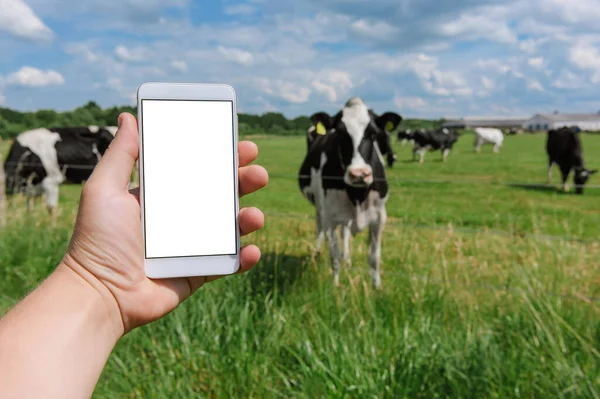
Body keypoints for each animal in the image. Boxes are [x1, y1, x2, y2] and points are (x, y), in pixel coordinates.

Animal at [300, 98, 404, 290]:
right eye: (340, 133)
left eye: (372, 133)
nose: (359, 174)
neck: (357, 193)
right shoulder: (330, 217)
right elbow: (334, 255)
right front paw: (335, 286)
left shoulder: (379, 216)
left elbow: (374, 256)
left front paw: (376, 288)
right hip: (320, 206)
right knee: (320, 227)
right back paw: (317, 254)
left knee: (345, 232)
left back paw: (347, 259)